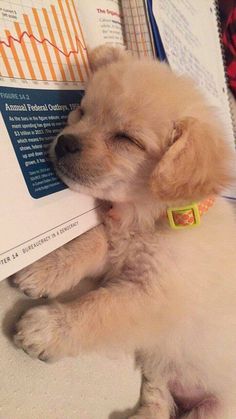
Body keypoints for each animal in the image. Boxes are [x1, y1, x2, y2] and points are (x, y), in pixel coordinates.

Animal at [13, 46, 236, 419]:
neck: (151, 220)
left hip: (218, 408)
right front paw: (44, 269)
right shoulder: (117, 242)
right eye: (82, 111)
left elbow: (99, 308)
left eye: (126, 139)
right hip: (158, 368)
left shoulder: (151, 296)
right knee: (159, 403)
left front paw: (48, 329)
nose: (64, 142)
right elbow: (86, 244)